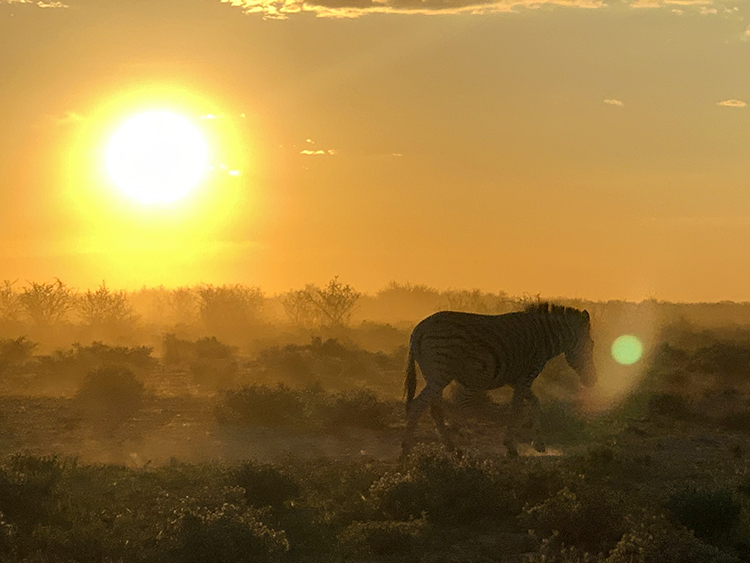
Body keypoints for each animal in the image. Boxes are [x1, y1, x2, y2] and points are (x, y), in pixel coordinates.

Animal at [406, 304, 600, 458]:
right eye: (591, 344)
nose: (593, 381)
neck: (543, 337)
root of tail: (418, 329)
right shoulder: (526, 377)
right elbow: (516, 410)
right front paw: (511, 447)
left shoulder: (516, 380)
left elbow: (536, 404)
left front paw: (538, 443)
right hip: (440, 372)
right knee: (416, 406)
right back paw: (405, 453)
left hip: (432, 374)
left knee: (435, 410)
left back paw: (453, 448)